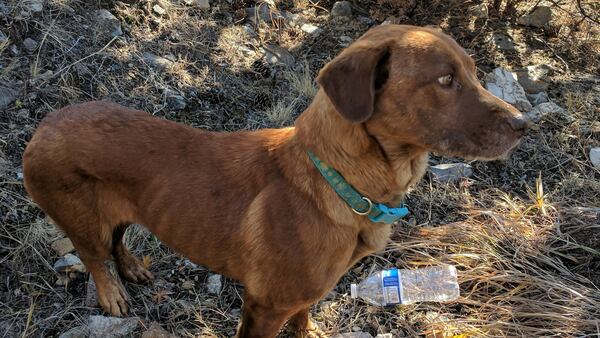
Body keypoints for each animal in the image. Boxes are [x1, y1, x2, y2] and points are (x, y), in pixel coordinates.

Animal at [23, 25, 528, 336]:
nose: (524, 124)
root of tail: (45, 123)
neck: (339, 182)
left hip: (125, 205)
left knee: (117, 239)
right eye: (445, 79)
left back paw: (133, 267)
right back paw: (112, 293)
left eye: (473, 73)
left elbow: (303, 318)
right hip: (79, 215)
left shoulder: (304, 295)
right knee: (94, 254)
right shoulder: (263, 307)